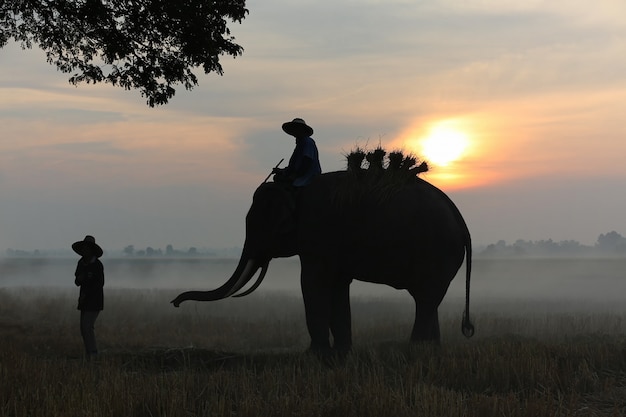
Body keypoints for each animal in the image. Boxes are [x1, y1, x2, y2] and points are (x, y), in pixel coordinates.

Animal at [171, 167, 472, 352]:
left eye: (256, 224)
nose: (175, 303)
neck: (295, 190)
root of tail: (461, 220)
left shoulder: (318, 234)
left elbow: (311, 283)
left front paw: (314, 355)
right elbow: (337, 287)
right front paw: (340, 354)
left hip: (437, 253)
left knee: (426, 299)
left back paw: (414, 352)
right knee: (427, 300)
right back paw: (429, 352)